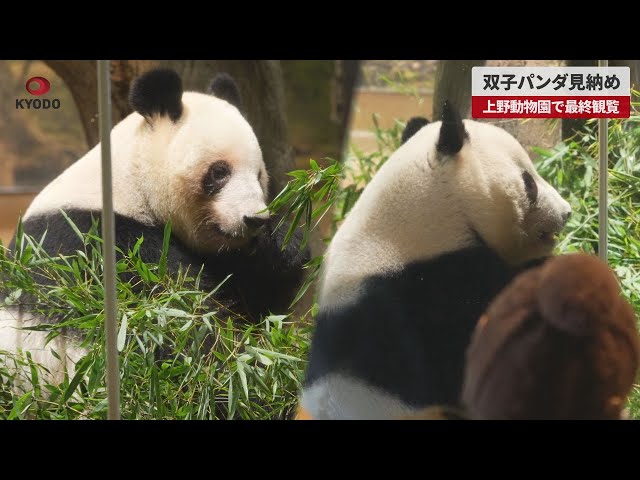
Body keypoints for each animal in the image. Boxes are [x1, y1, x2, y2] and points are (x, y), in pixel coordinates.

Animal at [0, 68, 309, 383]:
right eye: (219, 172)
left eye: (258, 175)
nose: (253, 219)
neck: (130, 182)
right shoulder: (101, 248)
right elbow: (175, 324)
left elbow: (255, 304)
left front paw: (281, 242)